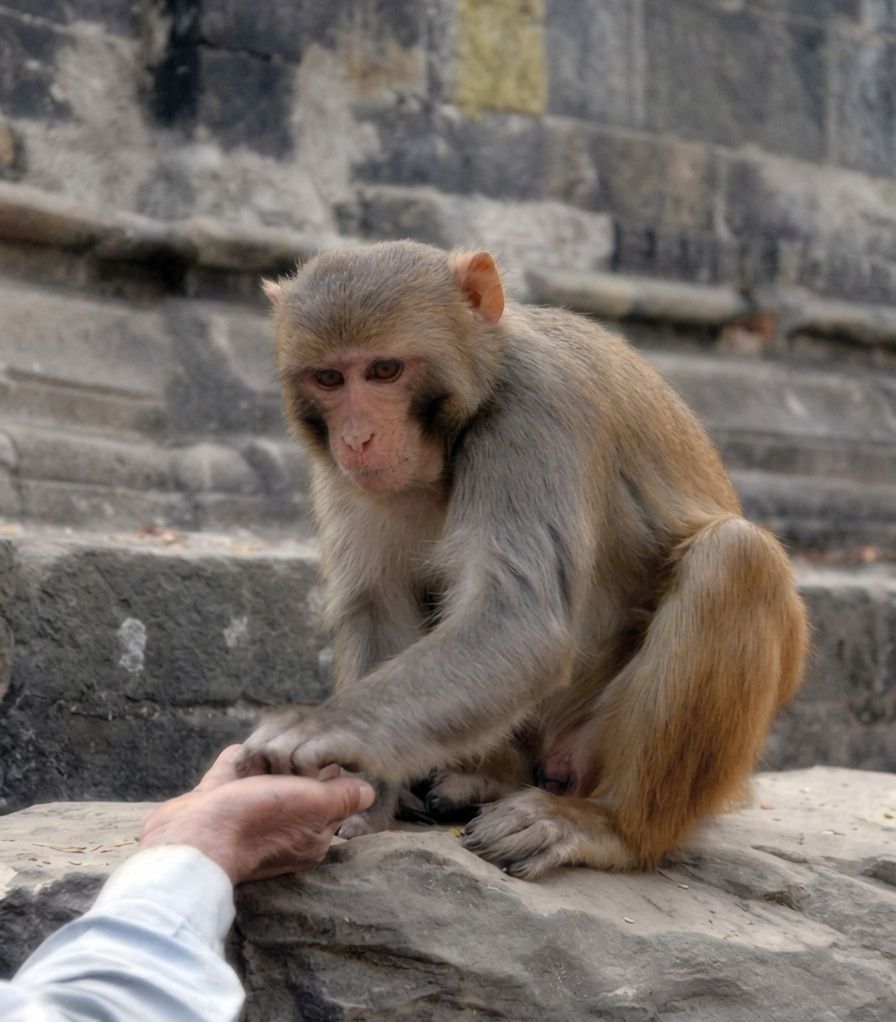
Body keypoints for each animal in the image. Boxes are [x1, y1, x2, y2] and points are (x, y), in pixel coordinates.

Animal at [239, 240, 808, 880]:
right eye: (330, 378)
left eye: (384, 371)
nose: (358, 437)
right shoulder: (347, 476)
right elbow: (379, 605)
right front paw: (367, 793)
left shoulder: (533, 415)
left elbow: (519, 621)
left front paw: (324, 729)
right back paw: (483, 780)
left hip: (603, 746)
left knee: (737, 559)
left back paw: (609, 826)